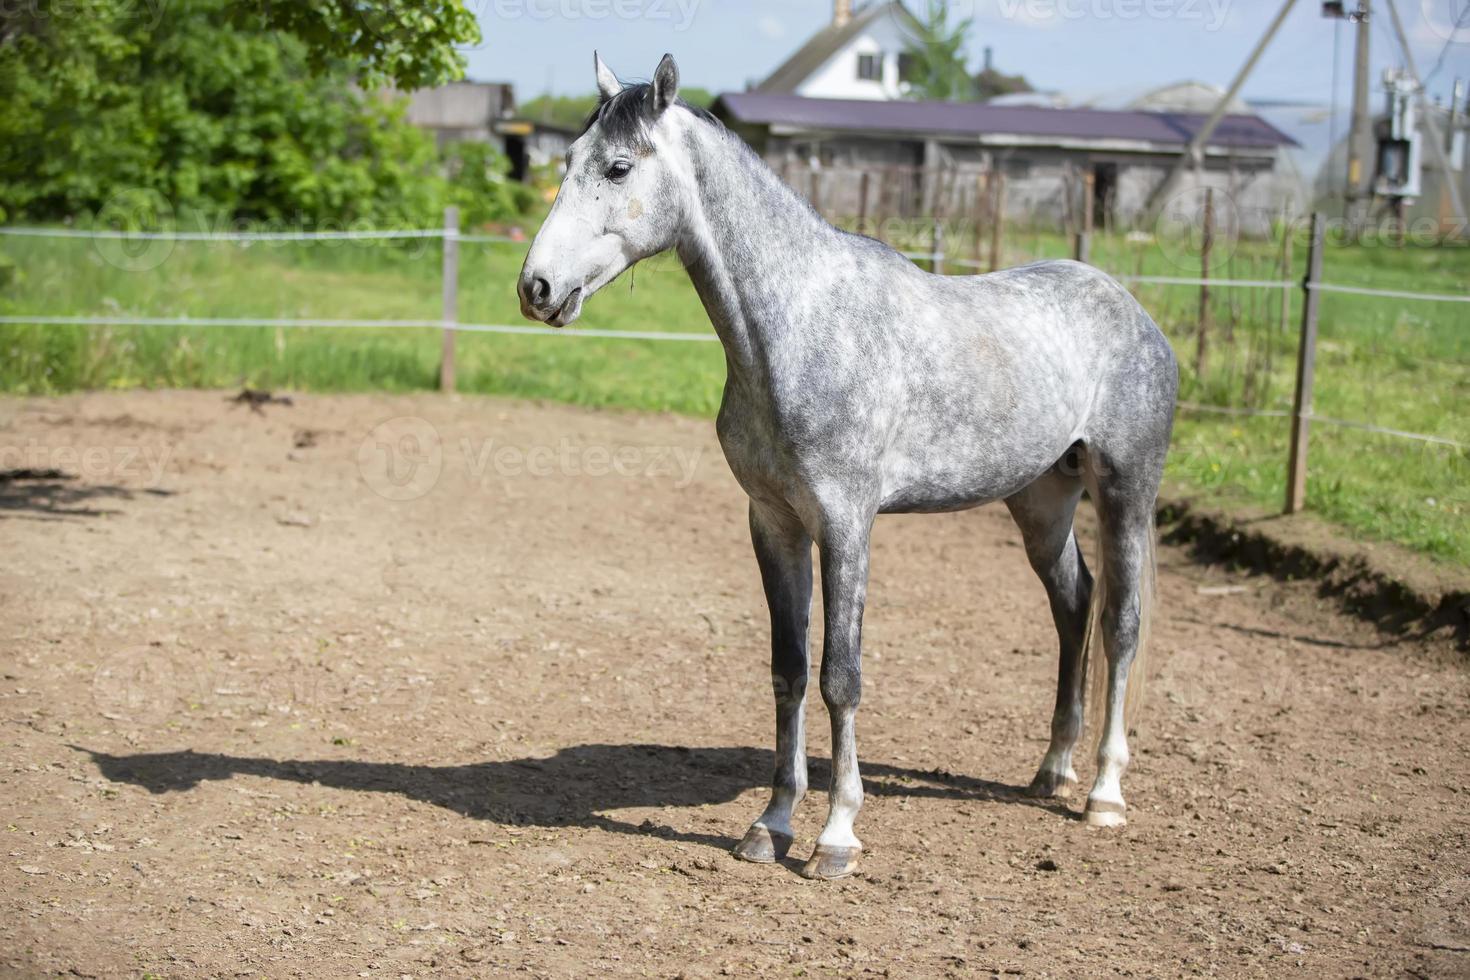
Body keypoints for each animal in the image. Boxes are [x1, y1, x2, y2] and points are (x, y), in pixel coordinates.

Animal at [523, 53, 1176, 881]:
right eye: (567, 160)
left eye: (617, 166)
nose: (536, 288)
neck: (803, 324)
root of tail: (1134, 311)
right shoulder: (774, 523)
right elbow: (789, 670)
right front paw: (770, 826)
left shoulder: (845, 524)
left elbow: (841, 676)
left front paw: (836, 836)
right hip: (1041, 503)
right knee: (1074, 605)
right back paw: (1051, 770)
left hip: (1126, 491)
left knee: (1121, 626)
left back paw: (1103, 794)